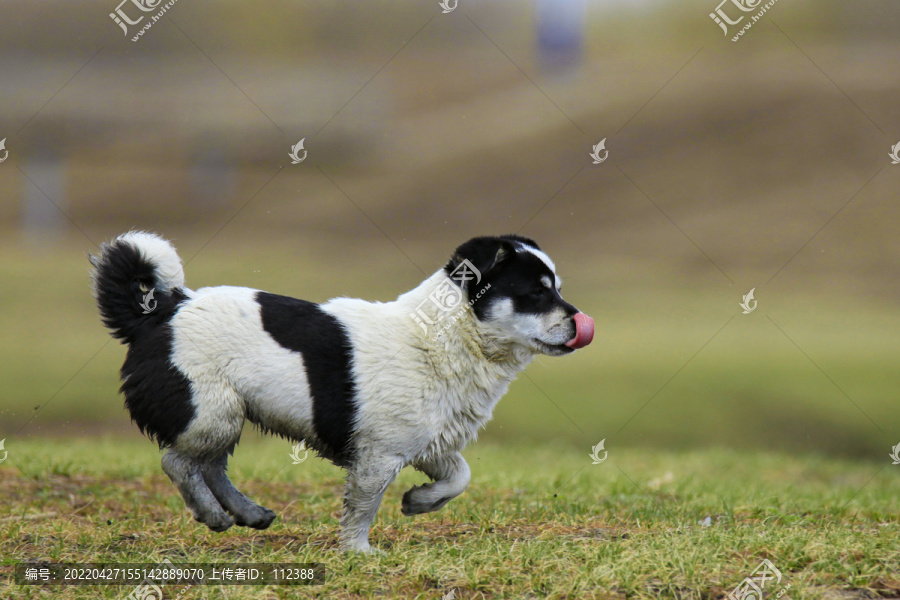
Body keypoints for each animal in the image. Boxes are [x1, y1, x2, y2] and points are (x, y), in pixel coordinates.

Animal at [91, 232, 596, 552]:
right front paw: (358, 552)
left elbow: (460, 478)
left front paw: (418, 502)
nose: (581, 323)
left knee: (210, 466)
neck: (441, 338)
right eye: (537, 292)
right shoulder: (378, 456)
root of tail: (160, 311)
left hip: (226, 416)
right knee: (177, 463)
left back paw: (249, 514)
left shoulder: (429, 445)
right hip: (210, 413)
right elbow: (361, 510)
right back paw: (213, 516)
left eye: (557, 289)